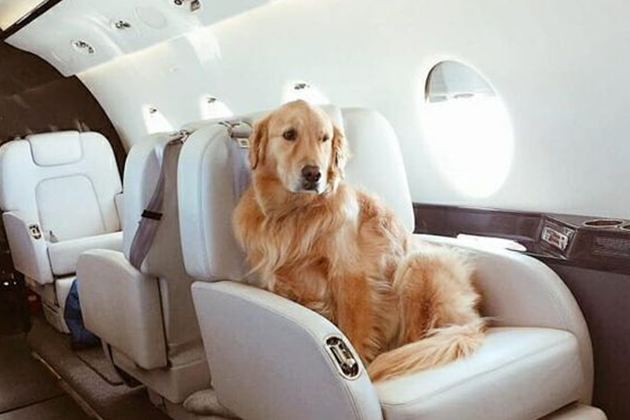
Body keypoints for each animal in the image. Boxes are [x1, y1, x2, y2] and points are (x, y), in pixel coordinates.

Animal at [233, 100, 485, 381]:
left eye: (324, 138)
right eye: (289, 134)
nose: (313, 174)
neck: (295, 213)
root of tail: (473, 321)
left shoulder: (351, 277)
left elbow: (353, 333)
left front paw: (362, 363)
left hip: (417, 264)